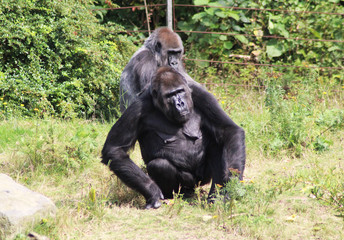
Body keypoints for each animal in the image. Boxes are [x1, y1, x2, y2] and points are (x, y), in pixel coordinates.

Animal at [101, 66, 246, 209]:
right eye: (170, 95)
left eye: (180, 91)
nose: (180, 103)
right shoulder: (137, 107)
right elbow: (114, 149)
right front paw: (152, 191)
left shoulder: (202, 95)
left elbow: (228, 130)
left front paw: (229, 188)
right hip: (186, 186)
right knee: (160, 165)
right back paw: (174, 196)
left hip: (202, 180)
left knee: (218, 146)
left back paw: (215, 196)